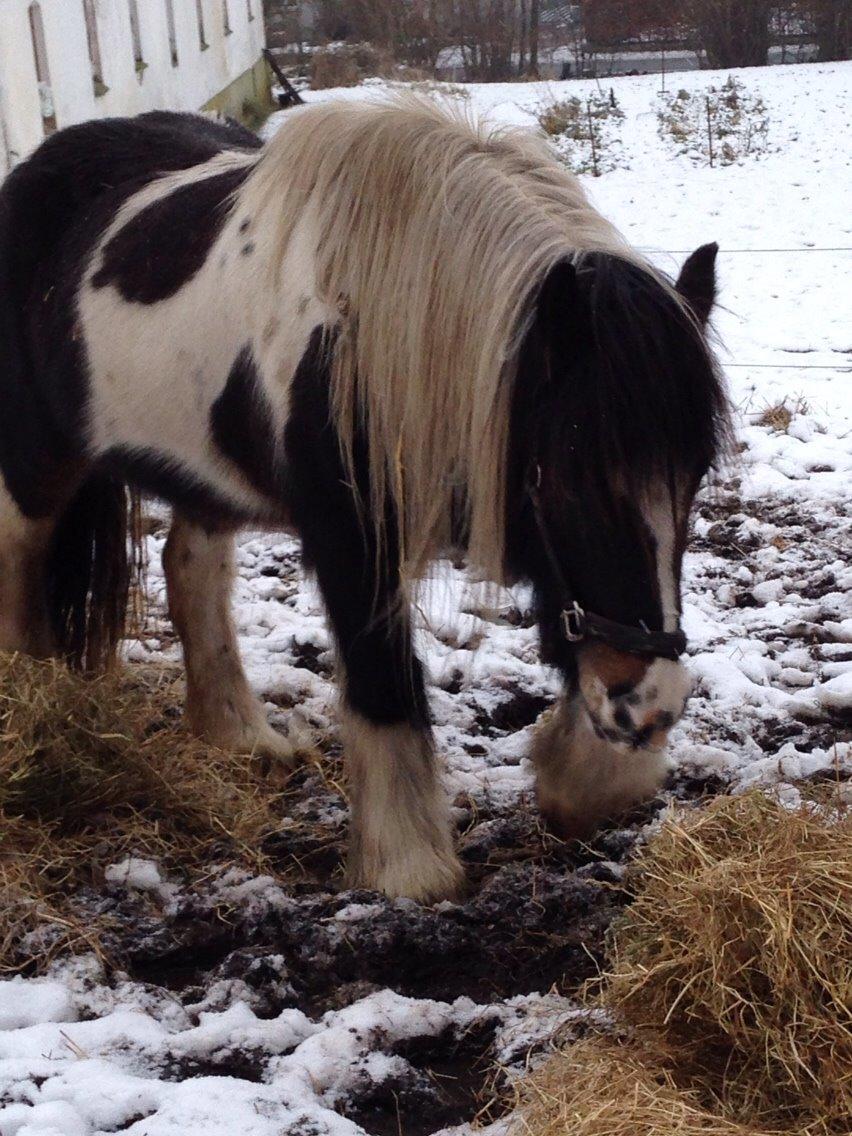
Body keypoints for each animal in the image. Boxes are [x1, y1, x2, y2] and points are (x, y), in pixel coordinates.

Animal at [0, 99, 736, 895]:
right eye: (574, 476)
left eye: (694, 474)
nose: (652, 706)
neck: (382, 321)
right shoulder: (352, 535)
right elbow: (384, 681)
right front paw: (410, 866)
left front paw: (580, 785)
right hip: (39, 461)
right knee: (21, 559)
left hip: (208, 472)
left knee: (191, 568)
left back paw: (239, 736)